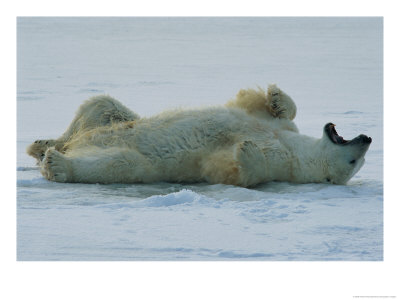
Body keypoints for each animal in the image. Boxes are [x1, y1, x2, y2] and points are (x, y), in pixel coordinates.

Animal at [27, 85, 372, 188]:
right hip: (110, 122)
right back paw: (42, 145)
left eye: (355, 163)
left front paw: (247, 149)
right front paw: (275, 96)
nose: (368, 138)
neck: (296, 151)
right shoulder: (282, 132)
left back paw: (57, 164)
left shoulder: (283, 162)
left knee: (121, 162)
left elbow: (241, 171)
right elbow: (270, 111)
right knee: (101, 105)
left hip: (135, 161)